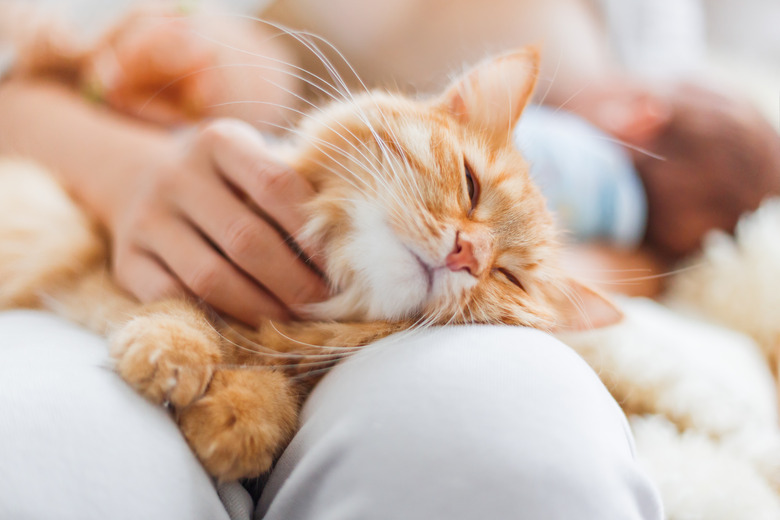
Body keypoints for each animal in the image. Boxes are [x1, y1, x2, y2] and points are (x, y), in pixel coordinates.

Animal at [0, 46, 620, 482]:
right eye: (471, 185)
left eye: (508, 277)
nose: (470, 255)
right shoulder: (97, 252)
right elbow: (177, 304)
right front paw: (174, 354)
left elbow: (273, 384)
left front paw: (243, 418)